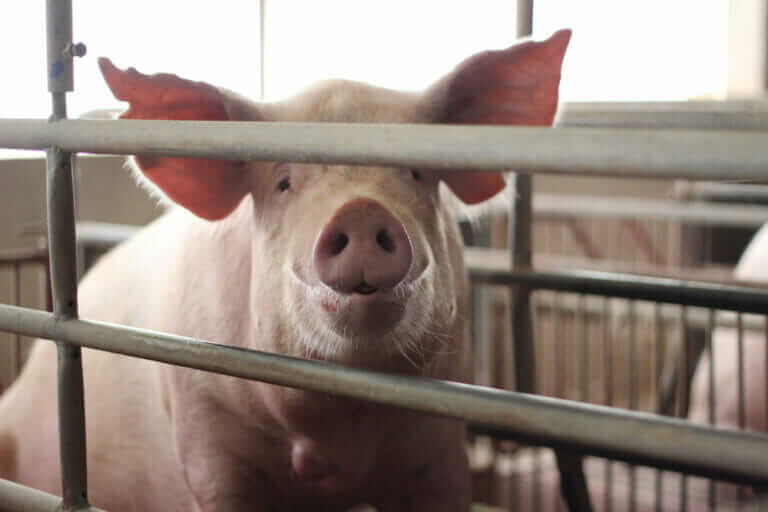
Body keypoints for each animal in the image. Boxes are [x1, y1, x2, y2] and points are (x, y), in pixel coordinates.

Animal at [0, 30, 571, 511]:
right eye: (283, 183)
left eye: (417, 174)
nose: (361, 210)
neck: (337, 437)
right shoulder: (206, 431)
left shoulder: (439, 440)